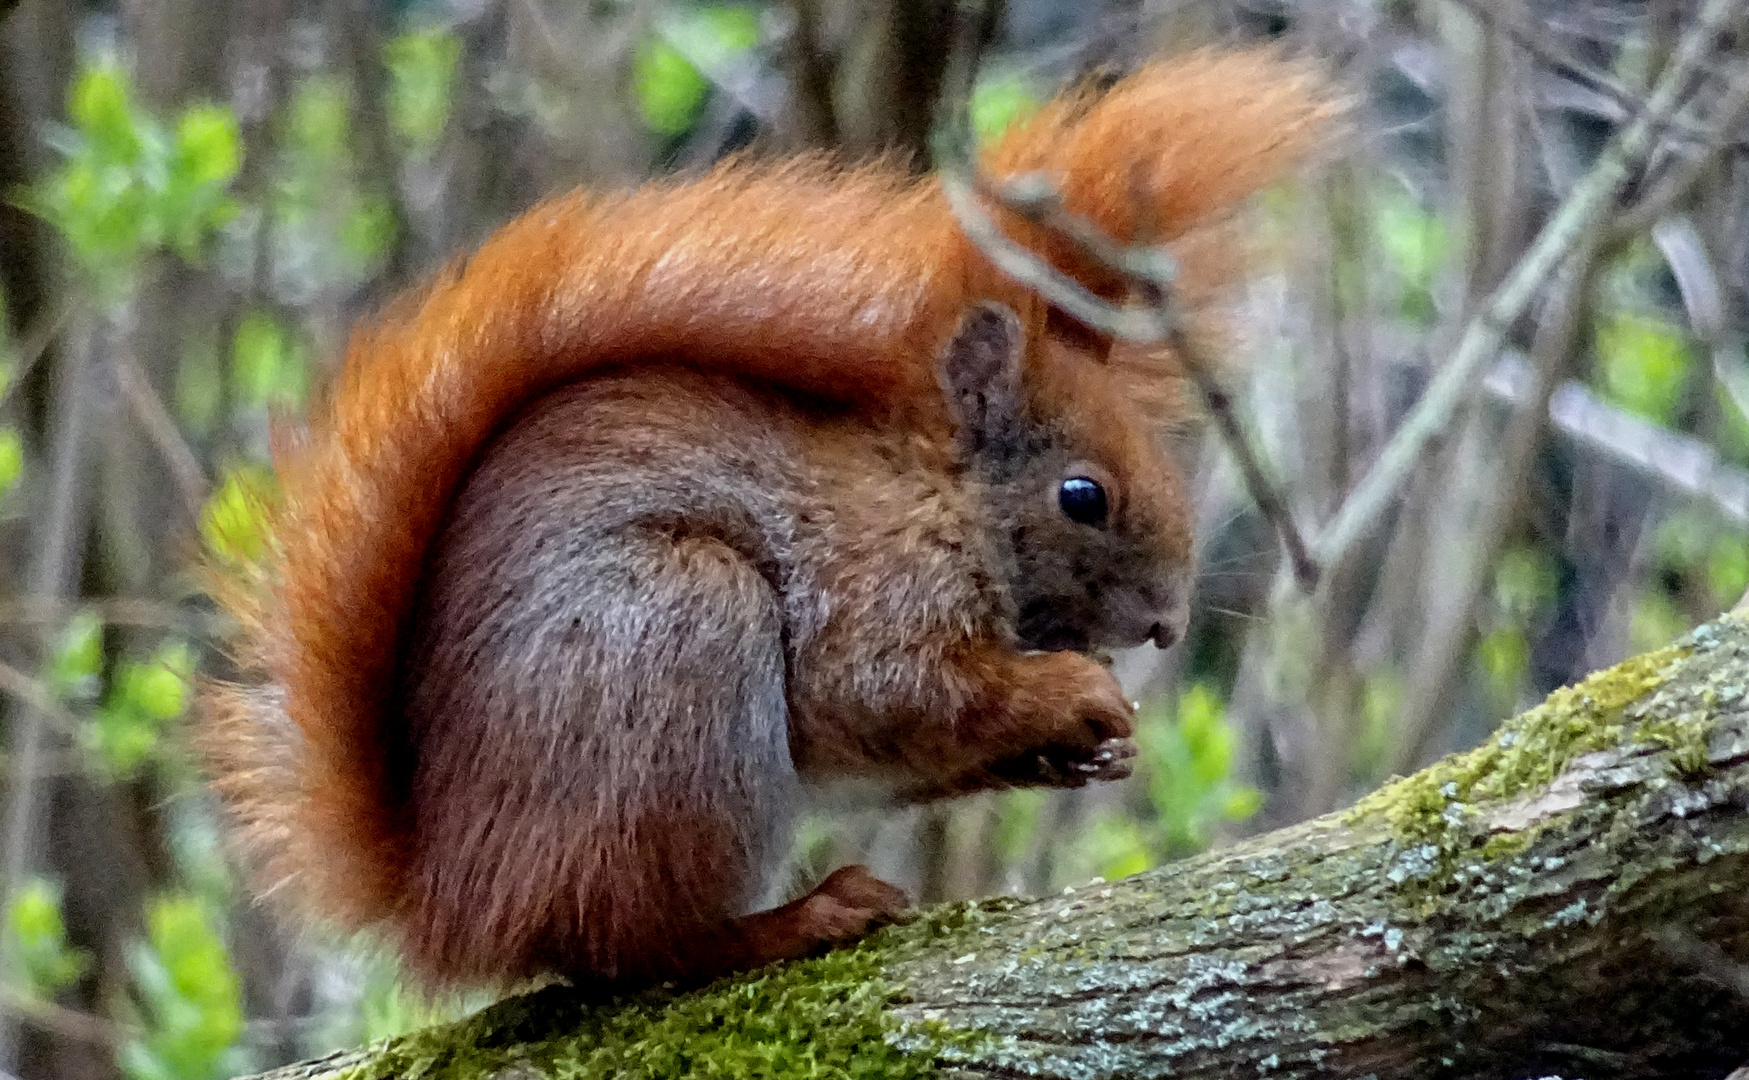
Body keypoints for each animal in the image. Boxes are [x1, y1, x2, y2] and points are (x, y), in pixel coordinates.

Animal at [198, 54, 1329, 987]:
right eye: (1081, 496)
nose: (1167, 626)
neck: (930, 492)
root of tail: (451, 894)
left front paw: (1088, 752)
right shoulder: (871, 588)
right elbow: (884, 693)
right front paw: (1071, 693)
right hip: (678, 644)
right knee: (630, 941)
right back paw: (796, 919)